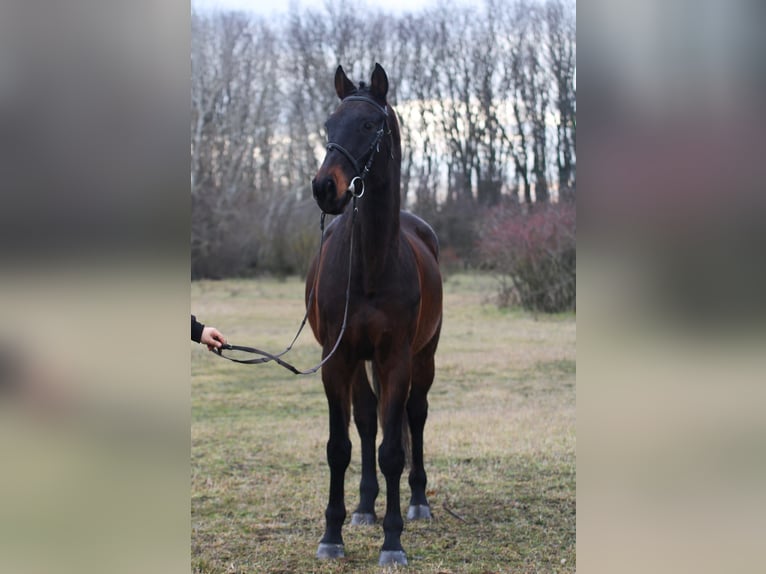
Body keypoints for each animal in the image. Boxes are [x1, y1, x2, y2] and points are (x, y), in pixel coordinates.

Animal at [306, 64, 444, 568]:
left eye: (369, 125)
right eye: (329, 123)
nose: (325, 188)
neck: (368, 264)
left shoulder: (396, 359)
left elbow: (392, 451)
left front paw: (393, 542)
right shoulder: (337, 359)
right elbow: (339, 446)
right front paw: (332, 535)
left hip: (424, 358)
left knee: (414, 416)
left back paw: (418, 502)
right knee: (366, 419)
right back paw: (364, 508)